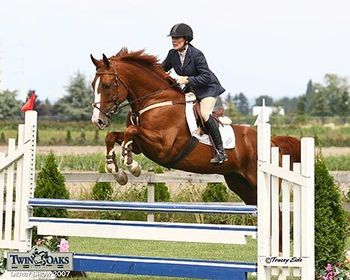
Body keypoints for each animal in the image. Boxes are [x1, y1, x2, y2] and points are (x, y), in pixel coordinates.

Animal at [89, 47, 300, 206]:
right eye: (93, 85)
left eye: (107, 85)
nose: (98, 121)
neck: (155, 100)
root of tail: (272, 142)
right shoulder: (143, 145)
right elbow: (115, 136)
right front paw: (116, 170)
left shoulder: (163, 147)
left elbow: (131, 131)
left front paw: (132, 165)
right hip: (240, 183)